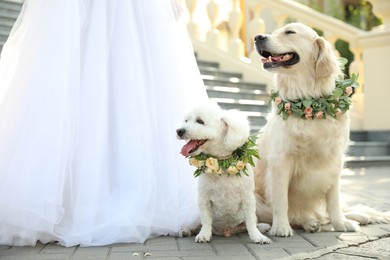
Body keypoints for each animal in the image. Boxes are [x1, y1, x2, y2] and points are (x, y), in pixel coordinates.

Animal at [177, 102, 272, 244]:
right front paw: (204, 235)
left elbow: (250, 222)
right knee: (197, 224)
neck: (222, 164)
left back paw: (262, 227)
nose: (179, 131)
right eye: (186, 120)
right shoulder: (204, 199)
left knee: (248, 225)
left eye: (200, 121)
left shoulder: (248, 199)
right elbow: (206, 221)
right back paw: (186, 230)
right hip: (197, 216)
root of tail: (226, 231)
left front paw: (258, 237)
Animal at [253, 23, 360, 237]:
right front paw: (280, 227)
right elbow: (281, 199)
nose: (257, 37)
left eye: (289, 32)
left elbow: (334, 199)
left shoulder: (335, 159)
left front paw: (340, 222)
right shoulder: (281, 160)